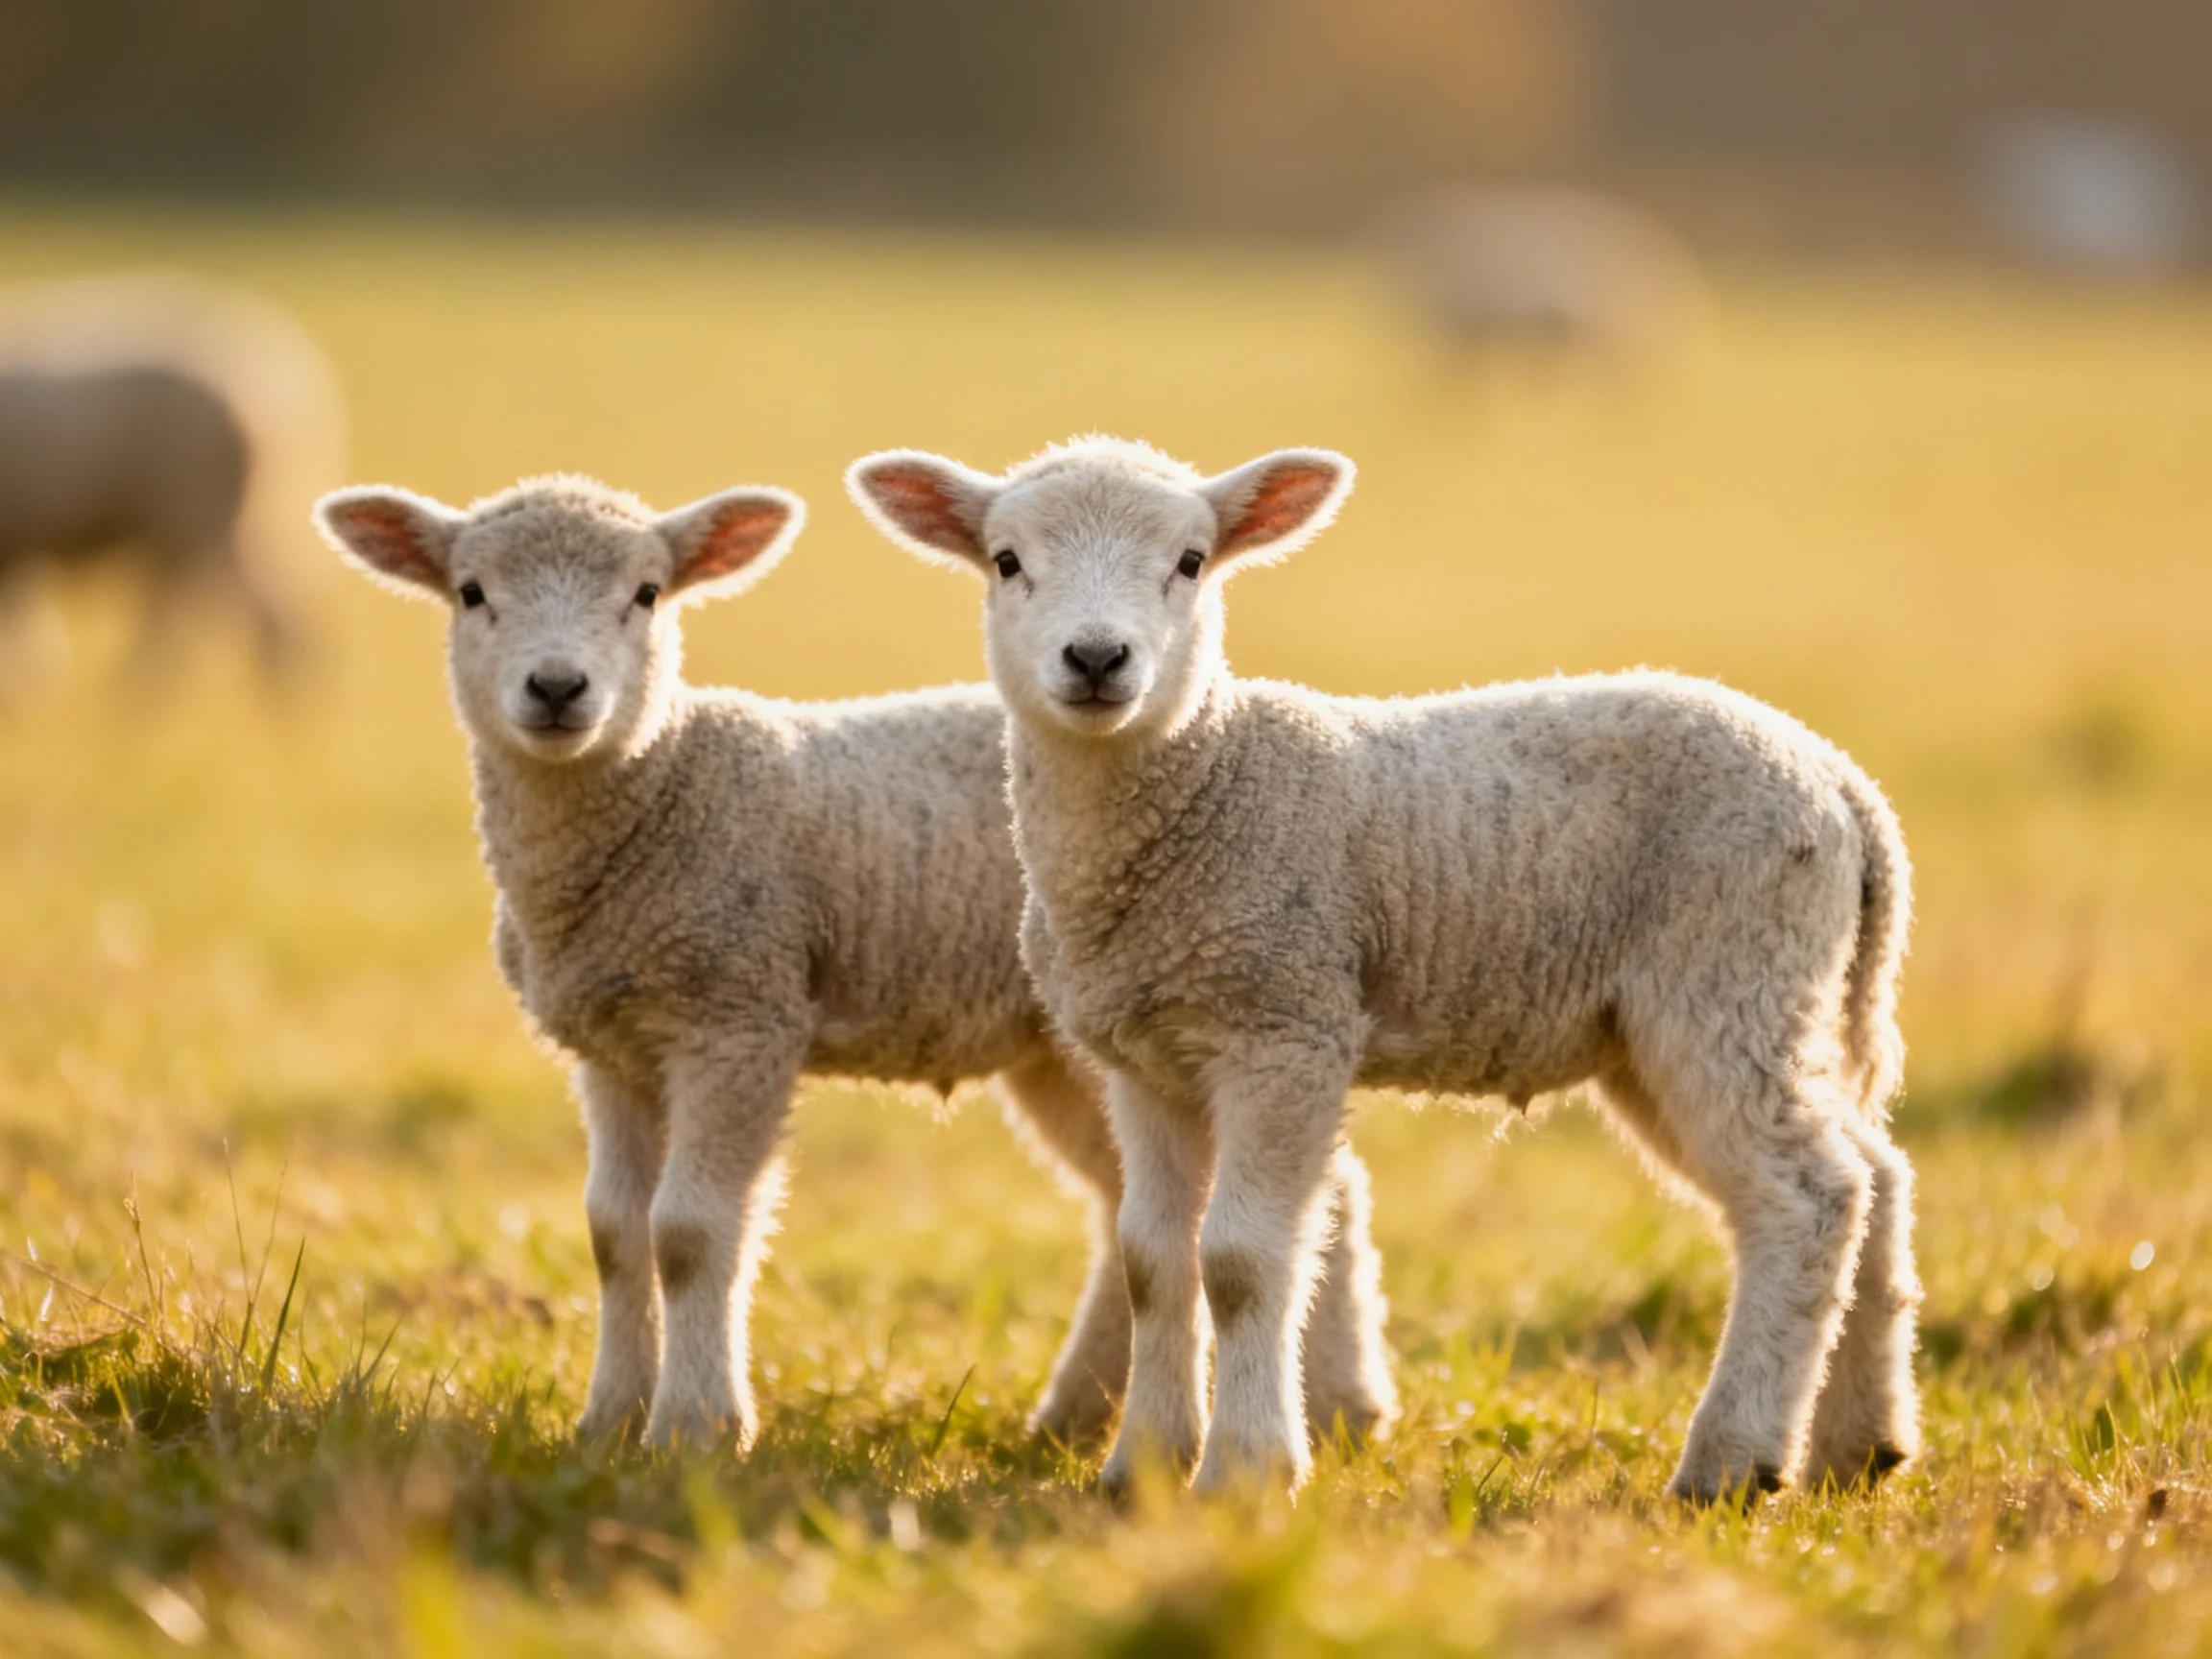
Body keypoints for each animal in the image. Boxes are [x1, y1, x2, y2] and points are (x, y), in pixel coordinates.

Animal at [311, 471, 1396, 1454]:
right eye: (471, 592)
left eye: (648, 593)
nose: (556, 688)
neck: (659, 784)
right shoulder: (613, 1047)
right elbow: (615, 1235)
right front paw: (608, 1421)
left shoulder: (739, 1016)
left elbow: (688, 1233)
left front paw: (696, 1430)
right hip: (1064, 1045)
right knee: (1126, 1207)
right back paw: (1080, 1410)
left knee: (1324, 1188)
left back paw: (1341, 1403)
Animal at [849, 436, 1920, 1503]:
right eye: (1006, 561)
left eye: (1191, 562)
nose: (1098, 659)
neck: (1207, 781)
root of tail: (1843, 784)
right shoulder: (1145, 1060)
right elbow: (1151, 1259)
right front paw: (1141, 1468)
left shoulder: (1287, 1027)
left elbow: (1239, 1259)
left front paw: (1246, 1470)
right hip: (1700, 1021)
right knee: (1867, 1172)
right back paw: (1859, 1444)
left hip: (1729, 973)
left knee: (1805, 1197)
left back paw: (1734, 1460)